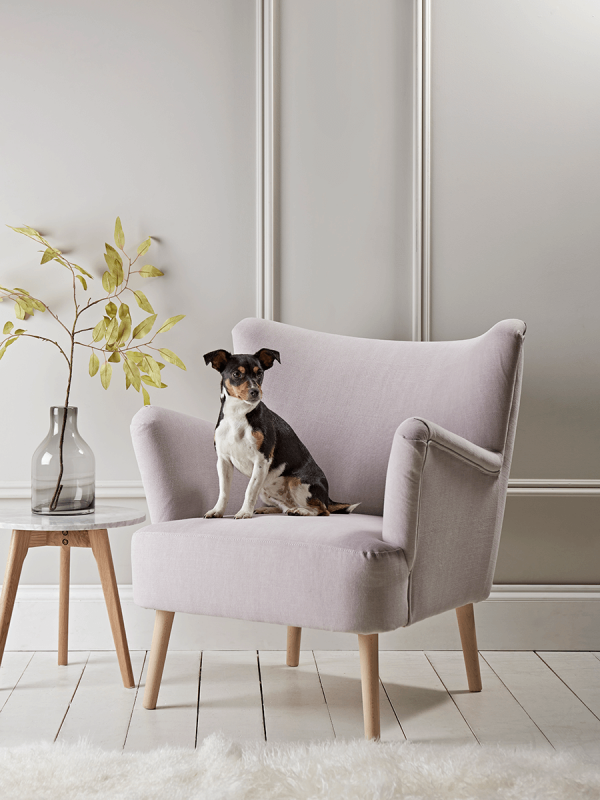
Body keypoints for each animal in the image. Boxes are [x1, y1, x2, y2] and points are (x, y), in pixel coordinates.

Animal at [204, 348, 358, 520]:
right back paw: (269, 509)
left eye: (260, 373)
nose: (255, 392)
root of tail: (328, 497)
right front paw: (217, 511)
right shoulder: (223, 461)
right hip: (266, 491)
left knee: (322, 510)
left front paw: (244, 512)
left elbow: (250, 490)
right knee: (285, 507)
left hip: (297, 483)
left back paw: (301, 511)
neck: (238, 415)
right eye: (236, 374)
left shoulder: (261, 460)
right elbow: (224, 491)